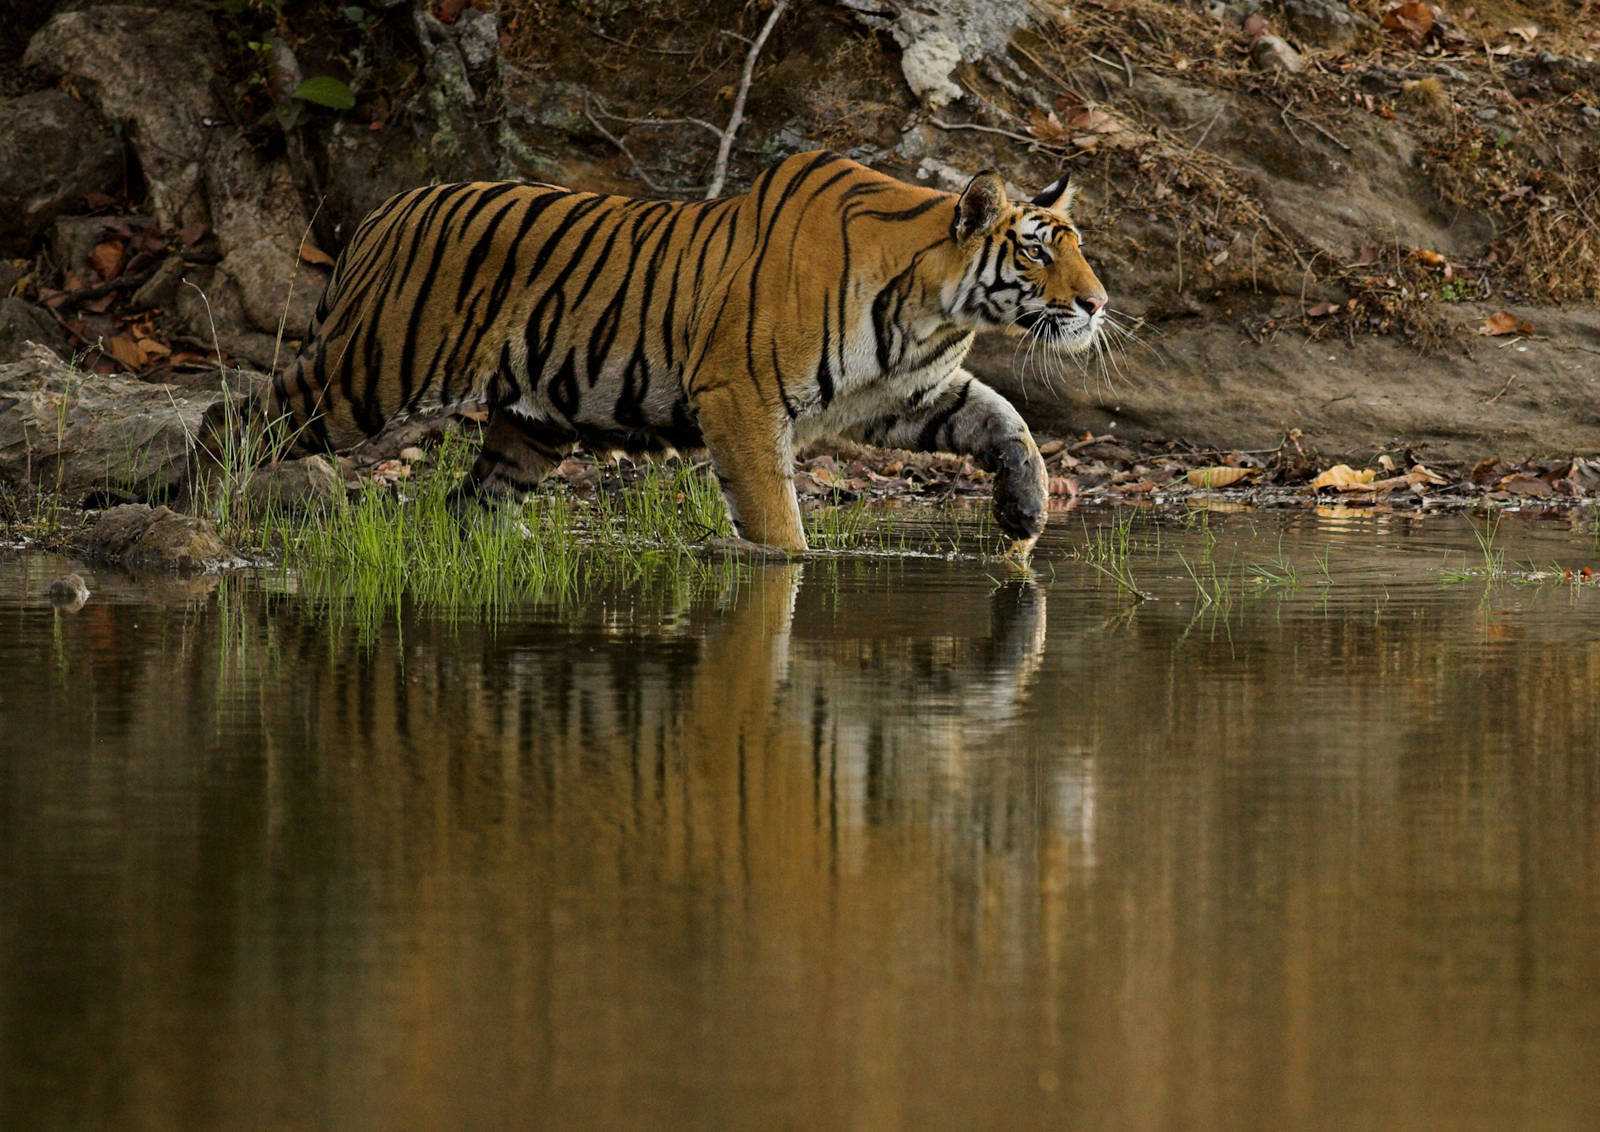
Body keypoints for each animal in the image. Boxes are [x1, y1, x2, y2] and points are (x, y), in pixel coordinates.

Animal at [203, 150, 1113, 556]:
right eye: (1036, 252)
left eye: (1077, 246)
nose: (1099, 304)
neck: (929, 308)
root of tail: (384, 210)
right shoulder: (740, 396)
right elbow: (777, 520)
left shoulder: (906, 394)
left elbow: (1005, 421)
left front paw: (1025, 513)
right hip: (367, 373)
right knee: (234, 417)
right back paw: (188, 505)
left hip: (532, 425)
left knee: (472, 503)